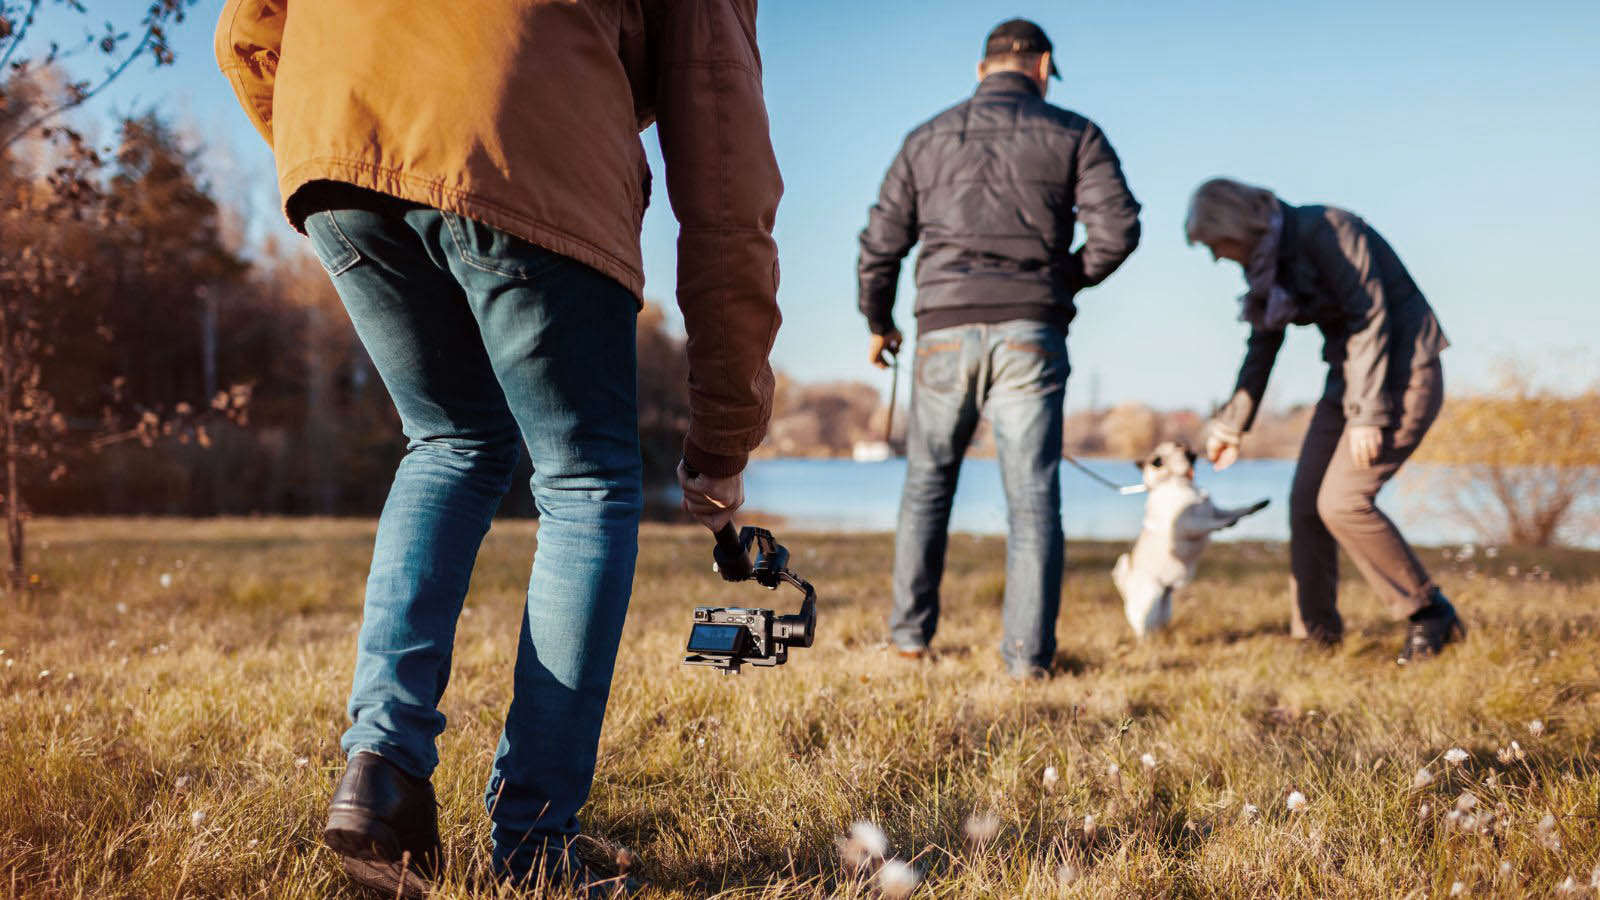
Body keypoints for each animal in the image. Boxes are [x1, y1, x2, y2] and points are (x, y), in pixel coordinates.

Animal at [1120, 438, 1267, 634]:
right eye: (1177, 447)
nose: (1188, 447)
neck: (1183, 485)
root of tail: (1127, 586)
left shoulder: (1215, 510)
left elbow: (1237, 509)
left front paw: (1256, 507)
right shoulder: (1191, 524)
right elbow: (1211, 523)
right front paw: (1228, 523)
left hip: (1165, 607)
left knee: (1159, 623)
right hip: (1150, 603)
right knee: (1143, 628)